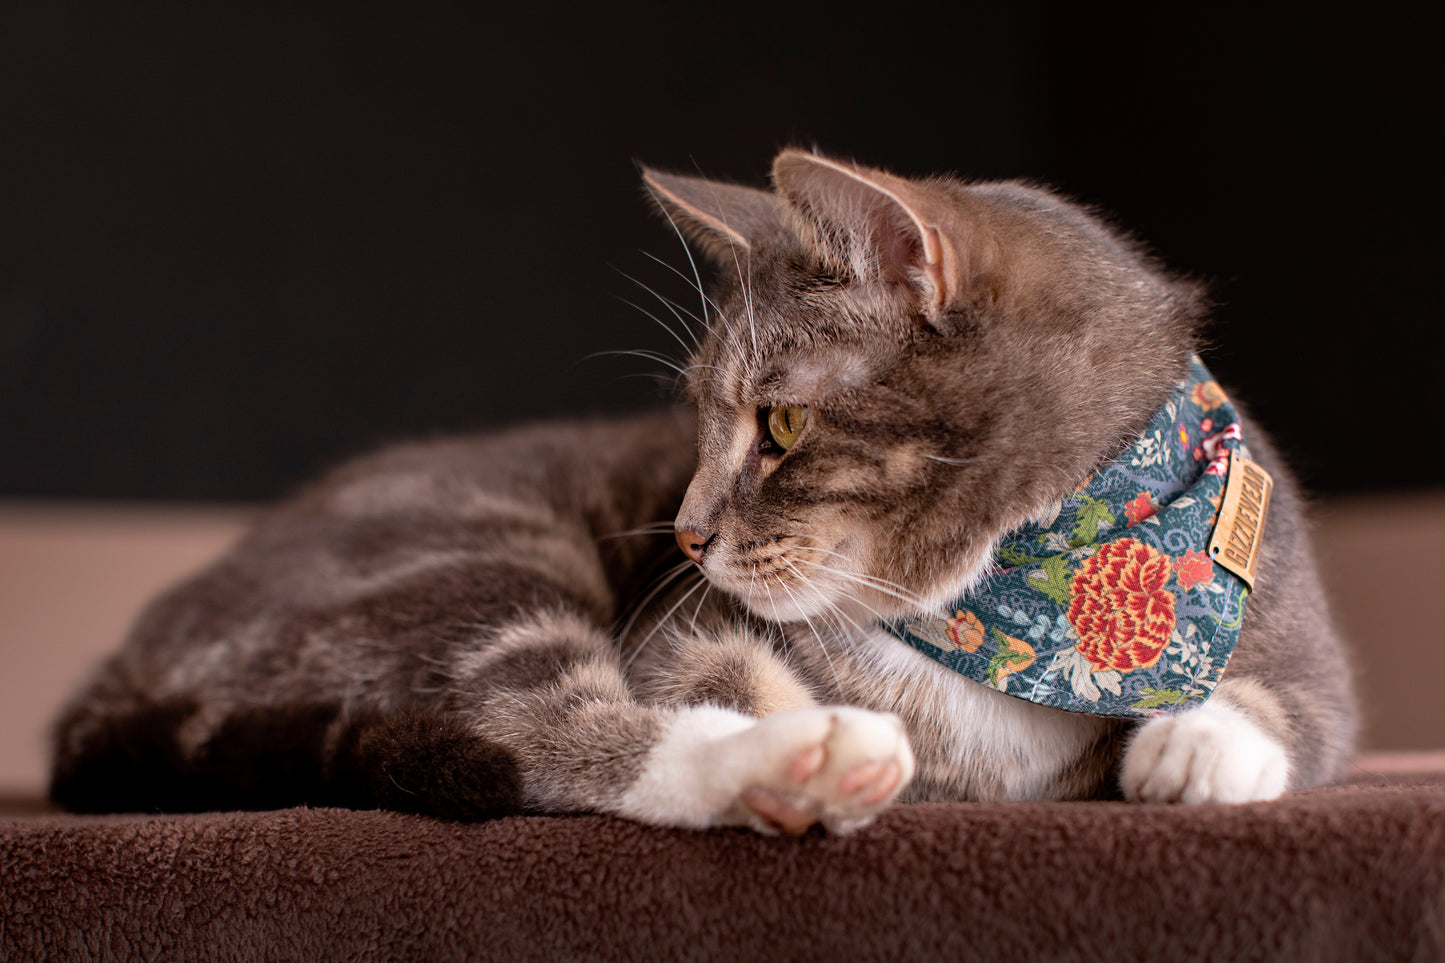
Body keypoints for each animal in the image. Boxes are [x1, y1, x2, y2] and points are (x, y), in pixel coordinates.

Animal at [48, 150, 1352, 832]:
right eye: (696, 418)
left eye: (778, 425)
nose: (680, 532)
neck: (1012, 603)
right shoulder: (671, 631)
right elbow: (704, 670)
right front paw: (794, 731)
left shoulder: (1289, 608)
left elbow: (1301, 704)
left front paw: (1196, 747)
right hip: (463, 558)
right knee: (540, 730)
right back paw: (793, 764)